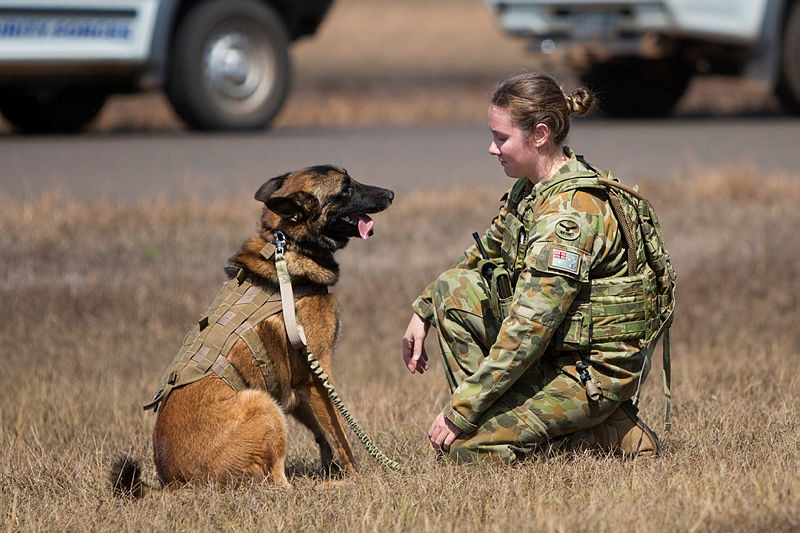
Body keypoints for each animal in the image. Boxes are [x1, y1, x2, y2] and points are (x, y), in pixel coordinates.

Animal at [112, 166, 394, 494]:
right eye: (346, 188)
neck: (286, 245)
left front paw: (331, 465)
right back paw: (324, 487)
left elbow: (323, 432)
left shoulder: (296, 386)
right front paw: (356, 476)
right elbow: (342, 434)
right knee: (280, 484)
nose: (391, 194)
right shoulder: (319, 373)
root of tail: (173, 482)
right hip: (262, 403)